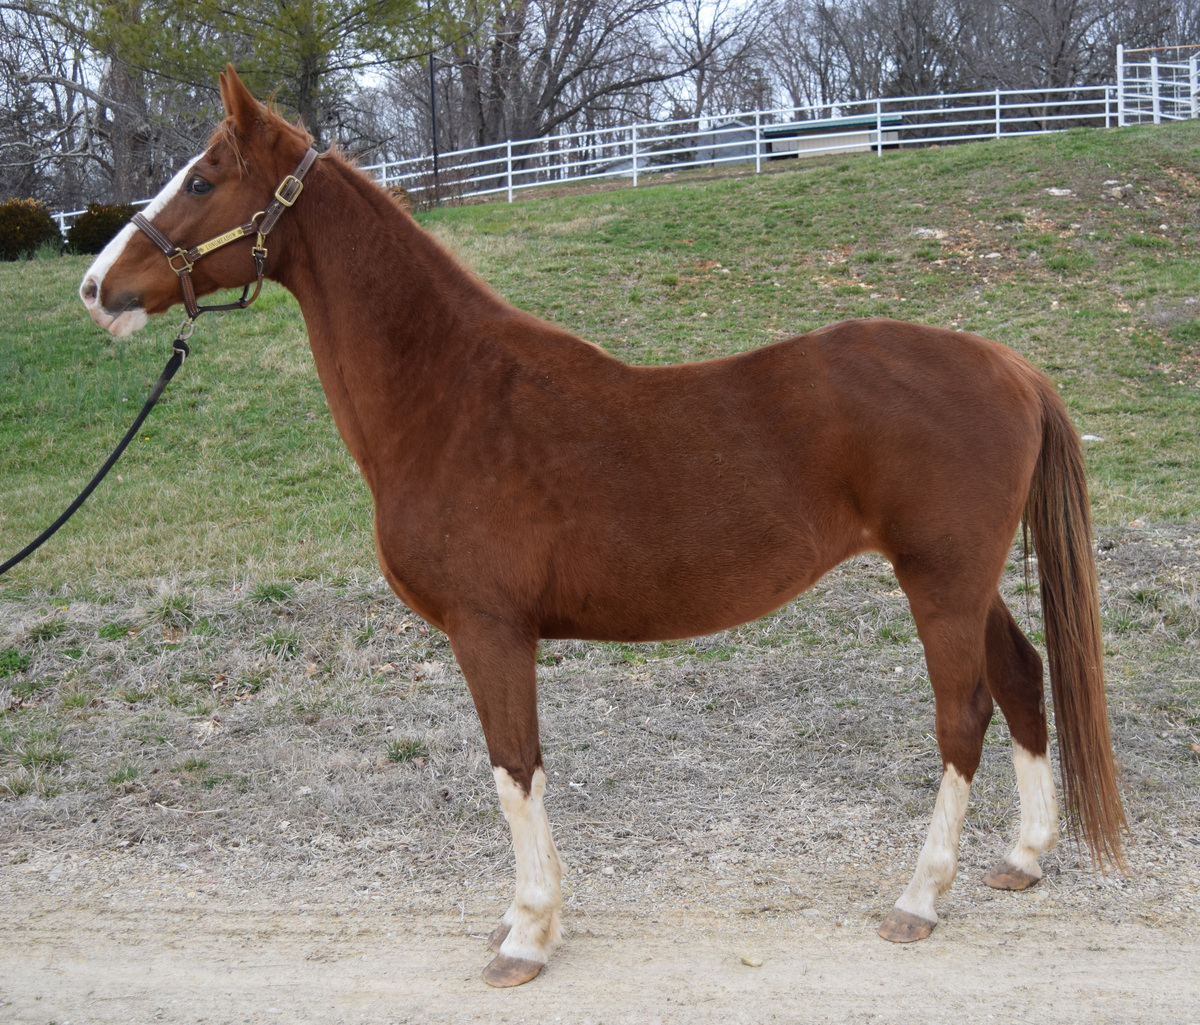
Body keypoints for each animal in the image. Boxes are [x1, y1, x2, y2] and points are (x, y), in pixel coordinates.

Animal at [79, 66, 1126, 987]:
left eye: (203, 177)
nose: (96, 287)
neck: (452, 397)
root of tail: (1008, 364)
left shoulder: (490, 630)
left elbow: (514, 772)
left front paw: (527, 935)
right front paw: (524, 921)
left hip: (940, 578)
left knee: (965, 713)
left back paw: (918, 896)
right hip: (965, 578)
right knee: (1022, 676)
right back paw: (1024, 856)